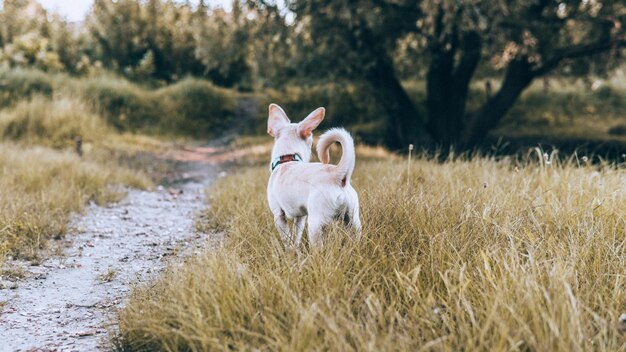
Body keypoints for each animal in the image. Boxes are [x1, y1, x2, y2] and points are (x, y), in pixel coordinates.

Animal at [264, 103, 360, 246]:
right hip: (352, 220)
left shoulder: (278, 215)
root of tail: (337, 175)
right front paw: (295, 248)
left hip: (315, 223)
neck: (287, 159)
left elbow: (287, 239)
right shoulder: (301, 217)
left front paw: (288, 250)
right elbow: (296, 236)